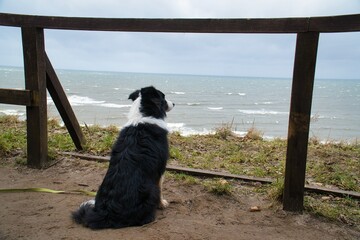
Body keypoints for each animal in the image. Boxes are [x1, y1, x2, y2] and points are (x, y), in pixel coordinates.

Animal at [71, 86, 174, 229]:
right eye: (163, 97)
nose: (174, 103)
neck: (143, 114)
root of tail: (106, 213)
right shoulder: (160, 168)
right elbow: (160, 187)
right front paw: (162, 203)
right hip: (149, 190)